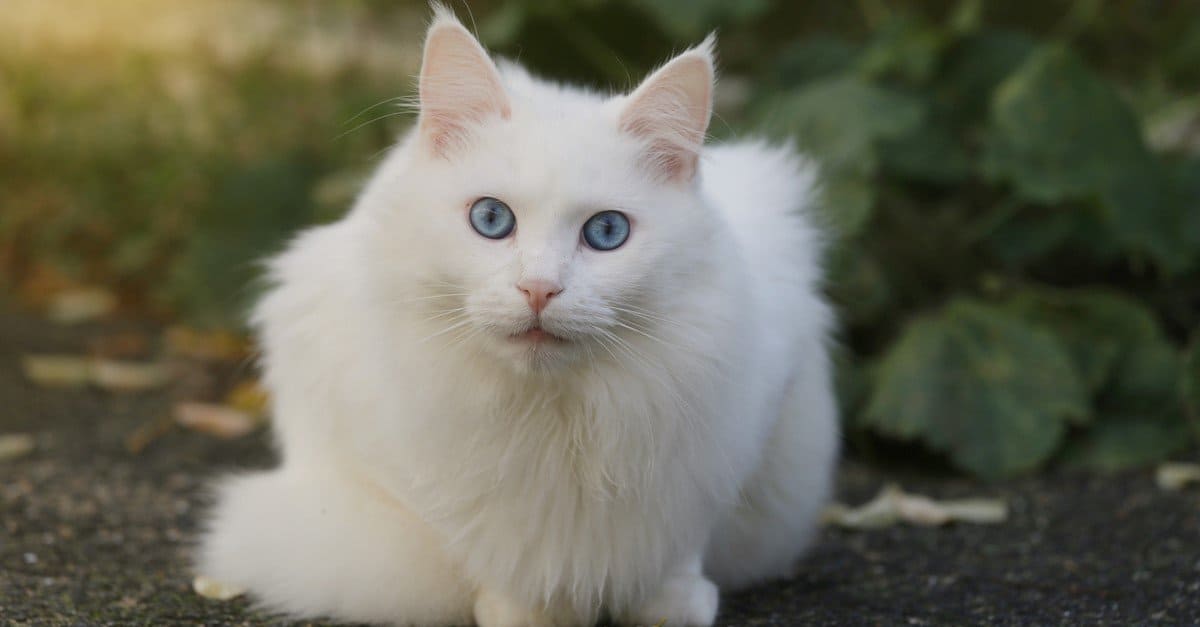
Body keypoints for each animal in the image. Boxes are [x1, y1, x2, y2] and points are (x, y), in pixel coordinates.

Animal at [199, 6, 835, 624]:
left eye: (607, 232)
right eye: (491, 219)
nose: (539, 289)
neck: (558, 421)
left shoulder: (732, 433)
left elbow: (676, 548)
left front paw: (670, 608)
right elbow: (488, 549)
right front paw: (524, 611)